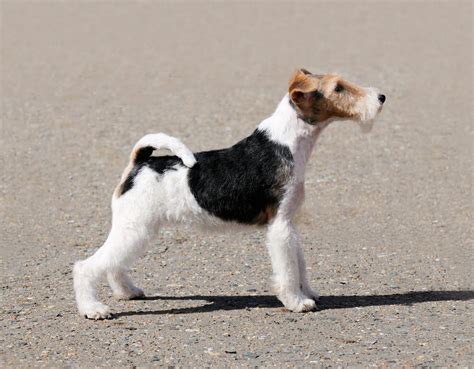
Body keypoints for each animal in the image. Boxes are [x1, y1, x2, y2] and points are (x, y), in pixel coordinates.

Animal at [74, 68, 386, 316]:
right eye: (338, 88)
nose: (381, 97)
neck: (285, 143)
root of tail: (139, 163)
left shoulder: (289, 222)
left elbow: (300, 263)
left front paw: (307, 292)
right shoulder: (280, 226)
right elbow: (288, 269)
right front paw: (297, 302)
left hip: (139, 229)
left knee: (114, 264)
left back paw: (127, 291)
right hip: (134, 228)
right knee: (86, 267)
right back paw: (93, 309)